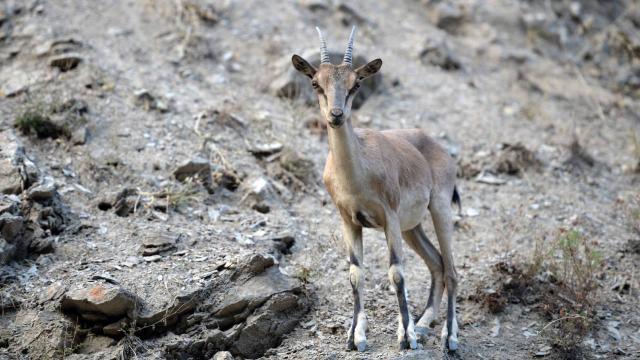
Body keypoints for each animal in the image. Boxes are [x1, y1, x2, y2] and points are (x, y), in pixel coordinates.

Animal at [292, 27, 462, 352]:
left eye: (356, 83)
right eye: (315, 82)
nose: (336, 114)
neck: (356, 177)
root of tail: (434, 145)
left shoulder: (389, 217)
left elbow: (396, 273)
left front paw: (406, 339)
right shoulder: (349, 221)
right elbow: (355, 274)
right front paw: (354, 338)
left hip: (438, 209)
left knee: (451, 270)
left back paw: (449, 338)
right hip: (412, 227)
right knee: (436, 263)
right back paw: (424, 324)